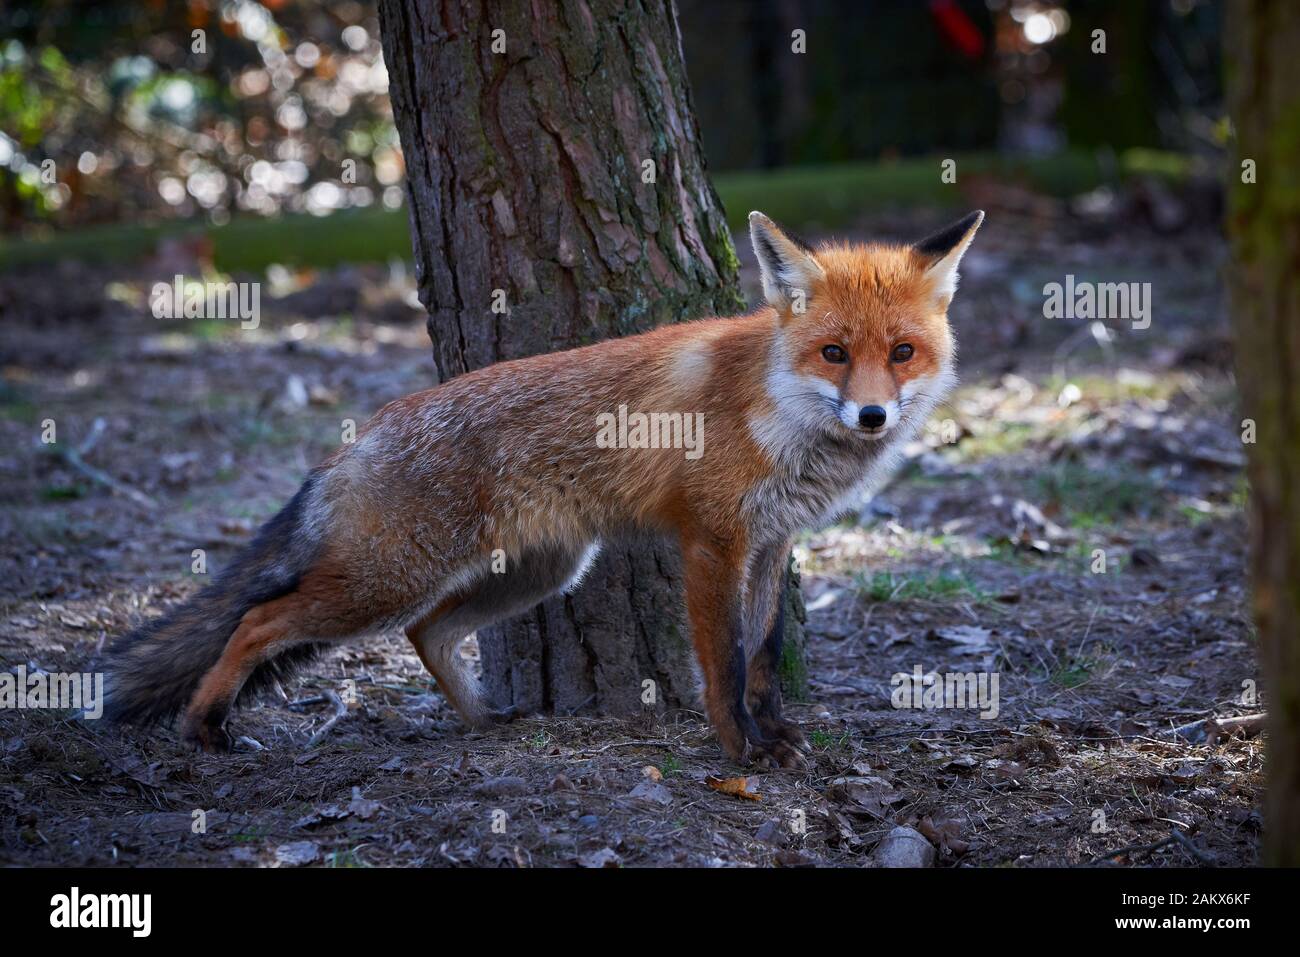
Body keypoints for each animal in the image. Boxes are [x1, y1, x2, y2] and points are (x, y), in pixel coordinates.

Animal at [100, 209, 984, 768]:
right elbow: (725, 662)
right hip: (385, 580)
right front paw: (741, 749)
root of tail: (354, 442)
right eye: (834, 353)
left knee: (427, 632)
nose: (872, 414)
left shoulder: (770, 541)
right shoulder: (712, 541)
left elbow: (763, 652)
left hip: (535, 570)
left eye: (901, 352)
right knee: (257, 620)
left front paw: (777, 732)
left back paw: (482, 719)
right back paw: (204, 726)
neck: (781, 413)